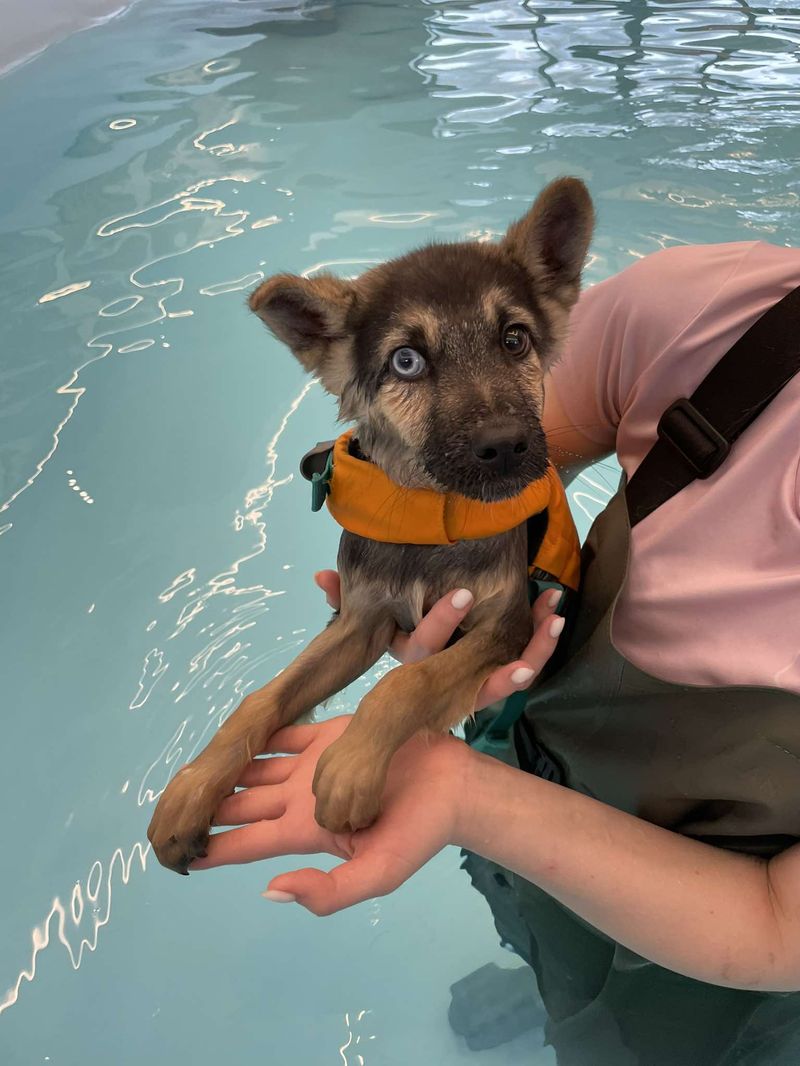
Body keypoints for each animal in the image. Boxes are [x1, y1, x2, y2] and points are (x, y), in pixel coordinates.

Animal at [147, 177, 594, 874]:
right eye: (406, 361)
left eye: (514, 340)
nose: (506, 447)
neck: (429, 519)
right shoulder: (359, 621)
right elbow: (264, 698)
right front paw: (193, 788)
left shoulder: (506, 624)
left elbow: (410, 680)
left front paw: (350, 767)